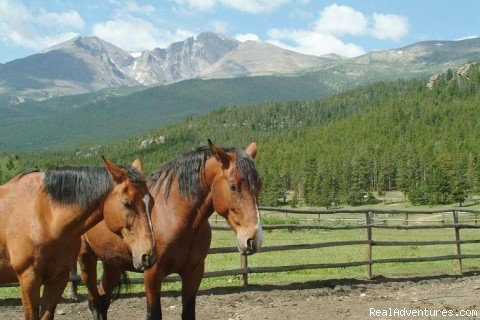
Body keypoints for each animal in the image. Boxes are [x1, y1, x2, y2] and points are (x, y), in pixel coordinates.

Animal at [0, 158, 156, 320]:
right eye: (126, 203)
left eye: (151, 202)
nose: (148, 256)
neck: (43, 217)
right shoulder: (28, 279)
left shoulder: (58, 279)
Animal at [80, 140, 264, 320]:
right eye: (233, 186)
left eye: (259, 185)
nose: (254, 239)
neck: (173, 217)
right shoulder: (152, 275)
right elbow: (154, 314)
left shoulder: (194, 273)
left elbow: (188, 313)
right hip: (87, 260)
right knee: (94, 302)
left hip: (112, 262)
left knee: (103, 300)